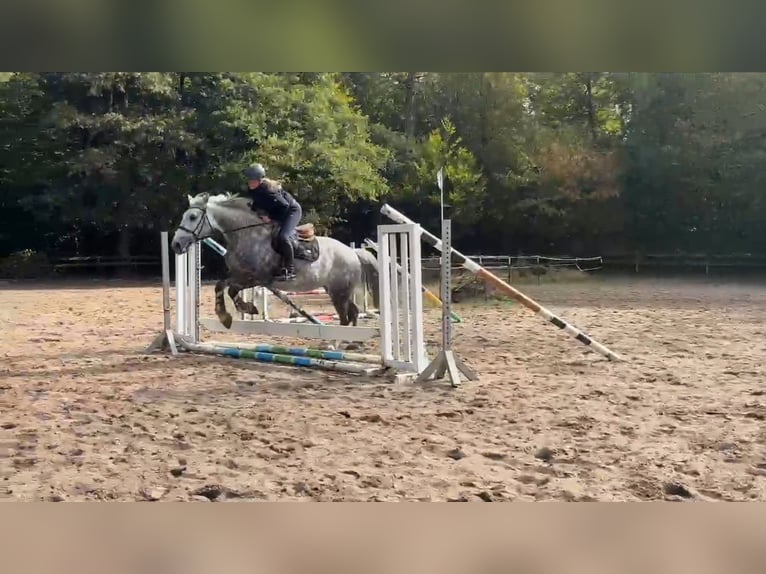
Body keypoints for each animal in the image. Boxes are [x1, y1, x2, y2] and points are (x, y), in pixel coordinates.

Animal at [170, 192, 380, 337]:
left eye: (192, 217)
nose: (176, 244)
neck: (244, 235)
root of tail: (353, 252)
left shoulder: (257, 278)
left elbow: (231, 290)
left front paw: (245, 310)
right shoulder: (238, 274)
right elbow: (221, 286)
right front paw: (227, 315)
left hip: (339, 292)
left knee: (345, 317)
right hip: (336, 290)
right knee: (353, 313)